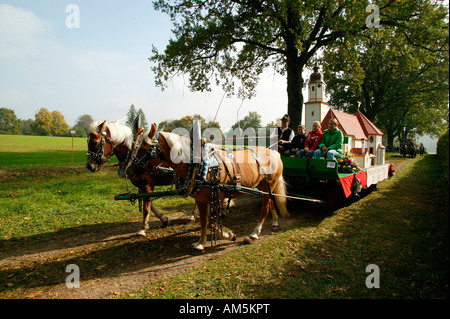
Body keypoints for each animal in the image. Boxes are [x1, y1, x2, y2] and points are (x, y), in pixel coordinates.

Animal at [126, 124, 288, 251]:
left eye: (144, 149)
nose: (128, 171)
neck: (201, 166)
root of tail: (274, 152)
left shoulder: (217, 196)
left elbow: (213, 222)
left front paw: (229, 235)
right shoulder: (201, 199)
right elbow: (205, 221)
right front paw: (201, 242)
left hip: (269, 185)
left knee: (265, 207)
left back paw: (254, 233)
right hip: (264, 186)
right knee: (270, 202)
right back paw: (274, 221)